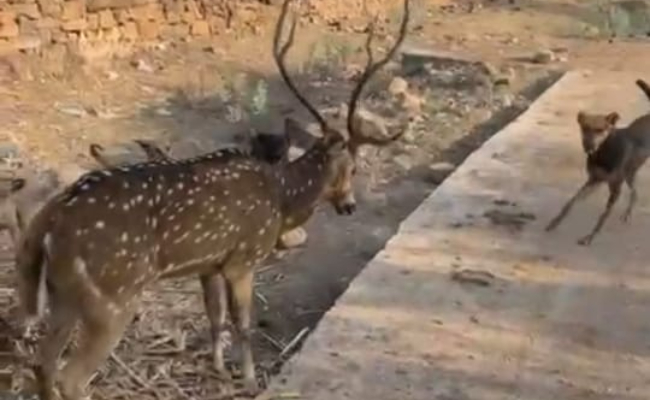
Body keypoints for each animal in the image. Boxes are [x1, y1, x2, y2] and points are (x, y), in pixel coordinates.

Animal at [14, 0, 410, 398]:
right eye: (353, 168)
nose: (349, 206)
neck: (282, 200)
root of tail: (49, 220)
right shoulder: (244, 258)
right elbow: (242, 323)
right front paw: (248, 379)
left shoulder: (209, 263)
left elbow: (214, 316)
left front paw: (218, 367)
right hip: (114, 295)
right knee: (71, 376)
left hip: (63, 294)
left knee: (42, 364)